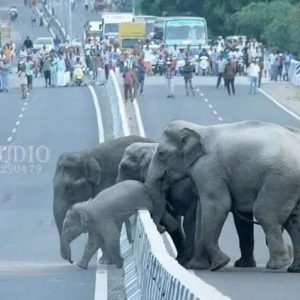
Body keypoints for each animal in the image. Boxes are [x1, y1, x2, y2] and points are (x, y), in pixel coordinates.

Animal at [116, 142, 255, 266]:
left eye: (124, 166)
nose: (161, 228)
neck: (151, 147)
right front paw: (180, 258)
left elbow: (183, 218)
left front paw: (184, 260)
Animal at [146, 119, 300, 272]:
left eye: (161, 154)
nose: (162, 228)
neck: (200, 129)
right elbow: (201, 213)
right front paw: (197, 266)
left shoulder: (208, 169)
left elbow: (218, 206)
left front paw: (221, 263)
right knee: (293, 221)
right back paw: (293, 268)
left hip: (280, 178)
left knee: (265, 214)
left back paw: (277, 265)